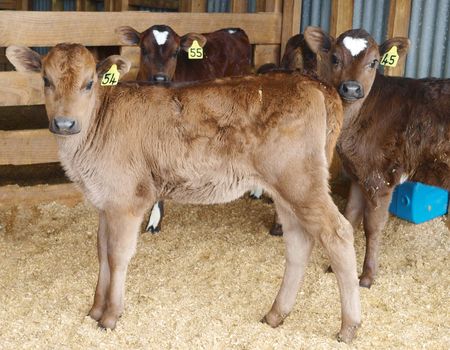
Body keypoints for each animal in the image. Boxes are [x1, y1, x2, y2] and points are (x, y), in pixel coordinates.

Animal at [7, 43, 360, 342]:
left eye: (89, 82)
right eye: (46, 80)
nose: (64, 123)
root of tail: (314, 84)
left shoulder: (126, 201)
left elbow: (118, 256)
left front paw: (110, 317)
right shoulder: (105, 202)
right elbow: (102, 252)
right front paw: (94, 310)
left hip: (300, 181)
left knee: (338, 233)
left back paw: (349, 327)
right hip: (287, 188)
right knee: (299, 242)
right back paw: (275, 315)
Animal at [302, 26, 450, 288]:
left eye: (374, 62)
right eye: (335, 58)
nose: (351, 88)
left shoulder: (379, 177)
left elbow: (372, 227)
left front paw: (367, 276)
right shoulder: (357, 173)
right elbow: (350, 217)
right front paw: (337, 266)